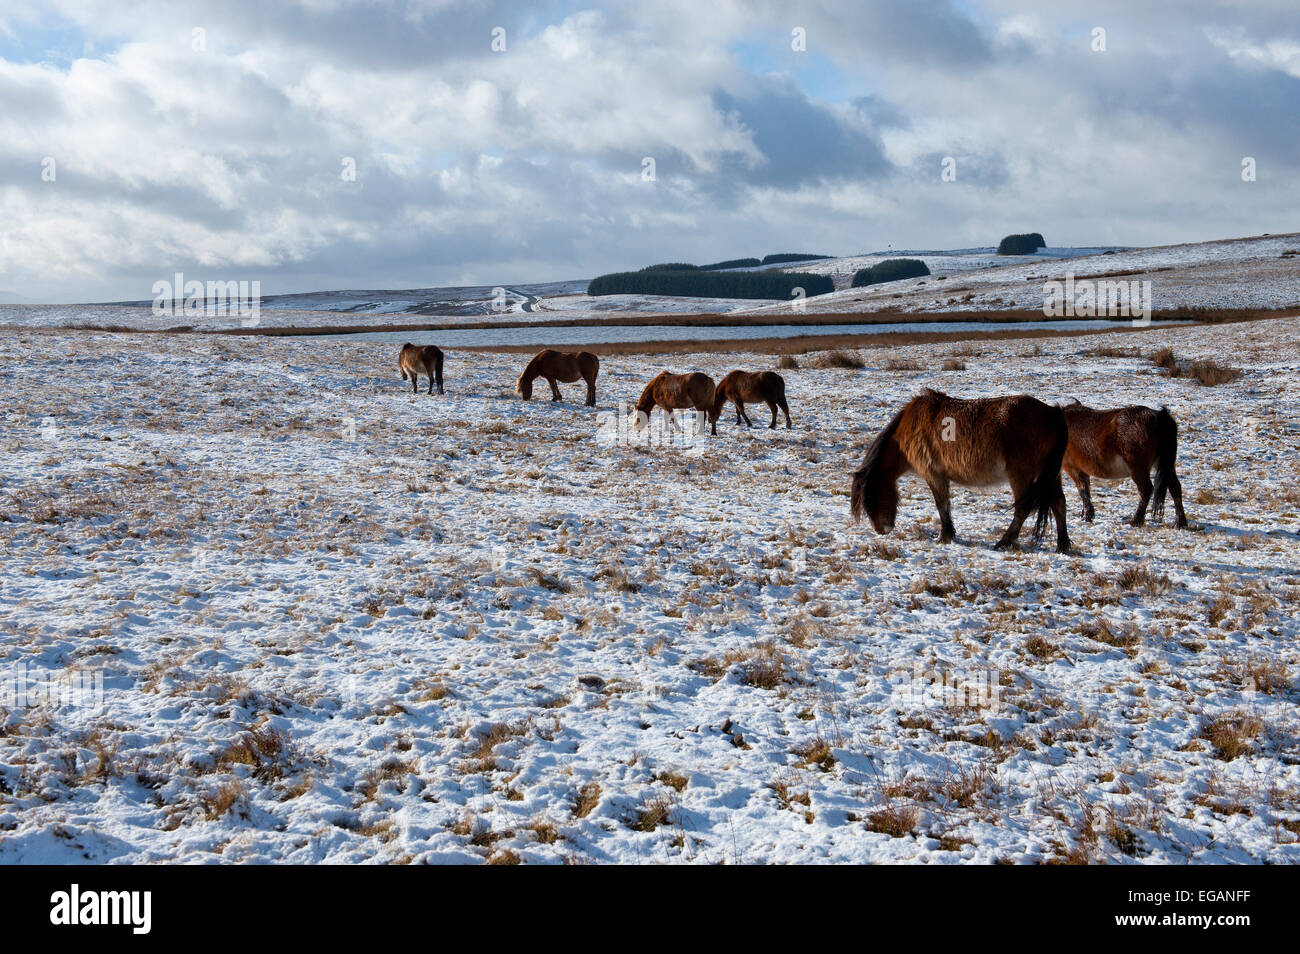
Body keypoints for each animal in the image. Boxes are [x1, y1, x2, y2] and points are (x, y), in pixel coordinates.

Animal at [847, 389, 1071, 553]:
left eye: (871, 495)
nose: (880, 530)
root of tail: (1052, 413)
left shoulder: (934, 475)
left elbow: (942, 505)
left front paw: (944, 536)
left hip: (1021, 476)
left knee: (1022, 509)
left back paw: (1003, 542)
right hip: (1051, 475)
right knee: (1059, 503)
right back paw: (1062, 545)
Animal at [1060, 397, 1185, 530]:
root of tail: (1160, 416)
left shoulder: (1073, 469)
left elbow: (1083, 491)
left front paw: (1087, 516)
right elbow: (1086, 491)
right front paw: (1086, 515)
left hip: (1137, 468)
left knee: (1146, 490)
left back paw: (1136, 521)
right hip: (1165, 465)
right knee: (1175, 488)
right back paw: (1180, 522)